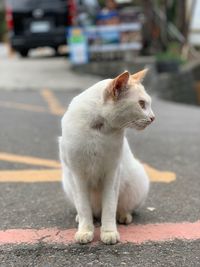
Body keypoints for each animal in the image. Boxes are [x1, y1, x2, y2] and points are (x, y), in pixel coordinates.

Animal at [59, 69, 155, 245]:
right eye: (141, 104)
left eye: (147, 103)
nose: (153, 118)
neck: (98, 129)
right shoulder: (77, 175)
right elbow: (83, 207)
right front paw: (85, 231)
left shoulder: (112, 172)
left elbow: (110, 206)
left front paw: (109, 232)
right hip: (68, 183)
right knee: (88, 210)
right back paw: (82, 218)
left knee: (121, 207)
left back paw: (123, 216)